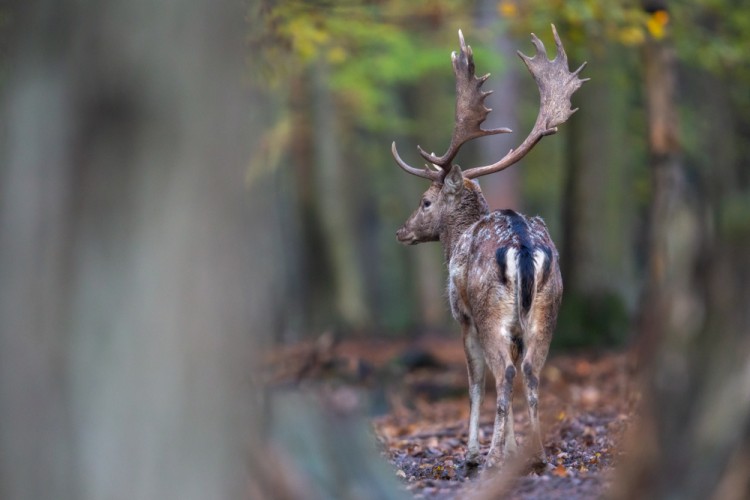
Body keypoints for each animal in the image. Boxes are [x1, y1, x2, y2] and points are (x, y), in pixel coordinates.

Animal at [394, 25, 588, 466]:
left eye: (425, 202)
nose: (402, 231)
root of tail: (523, 247)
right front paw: (513, 448)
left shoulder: (462, 316)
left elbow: (475, 383)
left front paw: (472, 452)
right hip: (547, 310)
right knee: (530, 371)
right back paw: (537, 455)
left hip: (489, 313)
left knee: (506, 373)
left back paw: (490, 458)